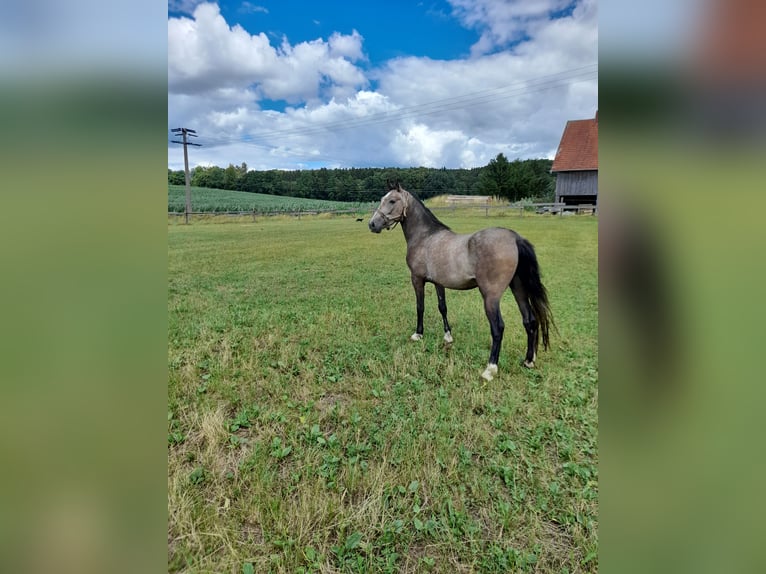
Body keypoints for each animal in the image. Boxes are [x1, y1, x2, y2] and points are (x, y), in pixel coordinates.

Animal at [368, 182, 554, 381]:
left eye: (392, 201)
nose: (372, 224)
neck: (425, 237)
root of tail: (515, 238)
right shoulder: (438, 283)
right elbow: (442, 308)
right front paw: (448, 337)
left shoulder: (417, 279)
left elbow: (420, 307)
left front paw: (418, 334)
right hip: (518, 289)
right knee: (530, 321)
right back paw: (528, 361)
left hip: (491, 297)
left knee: (498, 328)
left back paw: (490, 369)